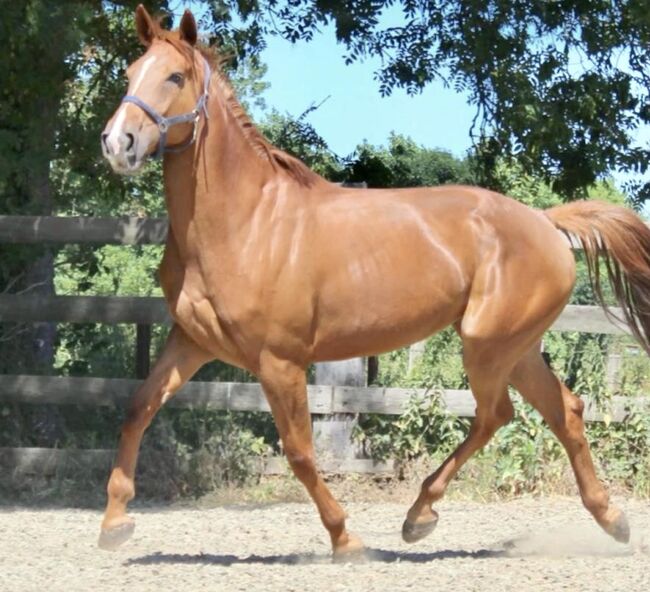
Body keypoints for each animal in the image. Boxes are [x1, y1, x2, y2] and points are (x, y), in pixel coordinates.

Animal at [97, 6, 648, 556]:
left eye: (175, 76)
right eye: (129, 73)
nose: (117, 143)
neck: (246, 222)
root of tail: (546, 223)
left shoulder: (280, 361)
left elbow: (299, 451)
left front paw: (346, 539)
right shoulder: (191, 341)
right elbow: (137, 408)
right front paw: (114, 524)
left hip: (488, 346)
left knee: (496, 414)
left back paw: (420, 516)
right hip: (517, 348)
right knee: (564, 410)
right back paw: (611, 519)